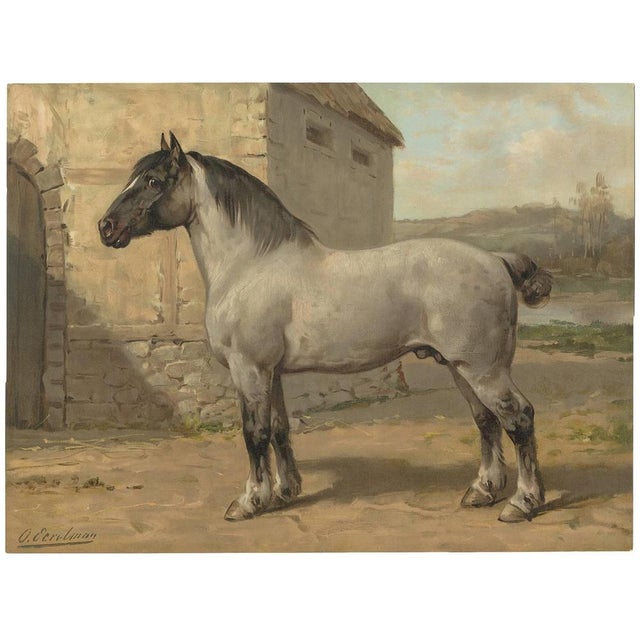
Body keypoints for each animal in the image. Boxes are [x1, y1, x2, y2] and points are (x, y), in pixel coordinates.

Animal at [99, 132, 552, 523]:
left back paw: (522, 503)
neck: (251, 265)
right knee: (486, 421)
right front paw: (286, 492)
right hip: (460, 368)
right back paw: (482, 492)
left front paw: (249, 502)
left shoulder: (249, 370)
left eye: (153, 180)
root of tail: (497, 260)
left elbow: (254, 433)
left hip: (483, 370)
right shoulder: (271, 373)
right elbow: (279, 429)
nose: (106, 227)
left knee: (518, 418)